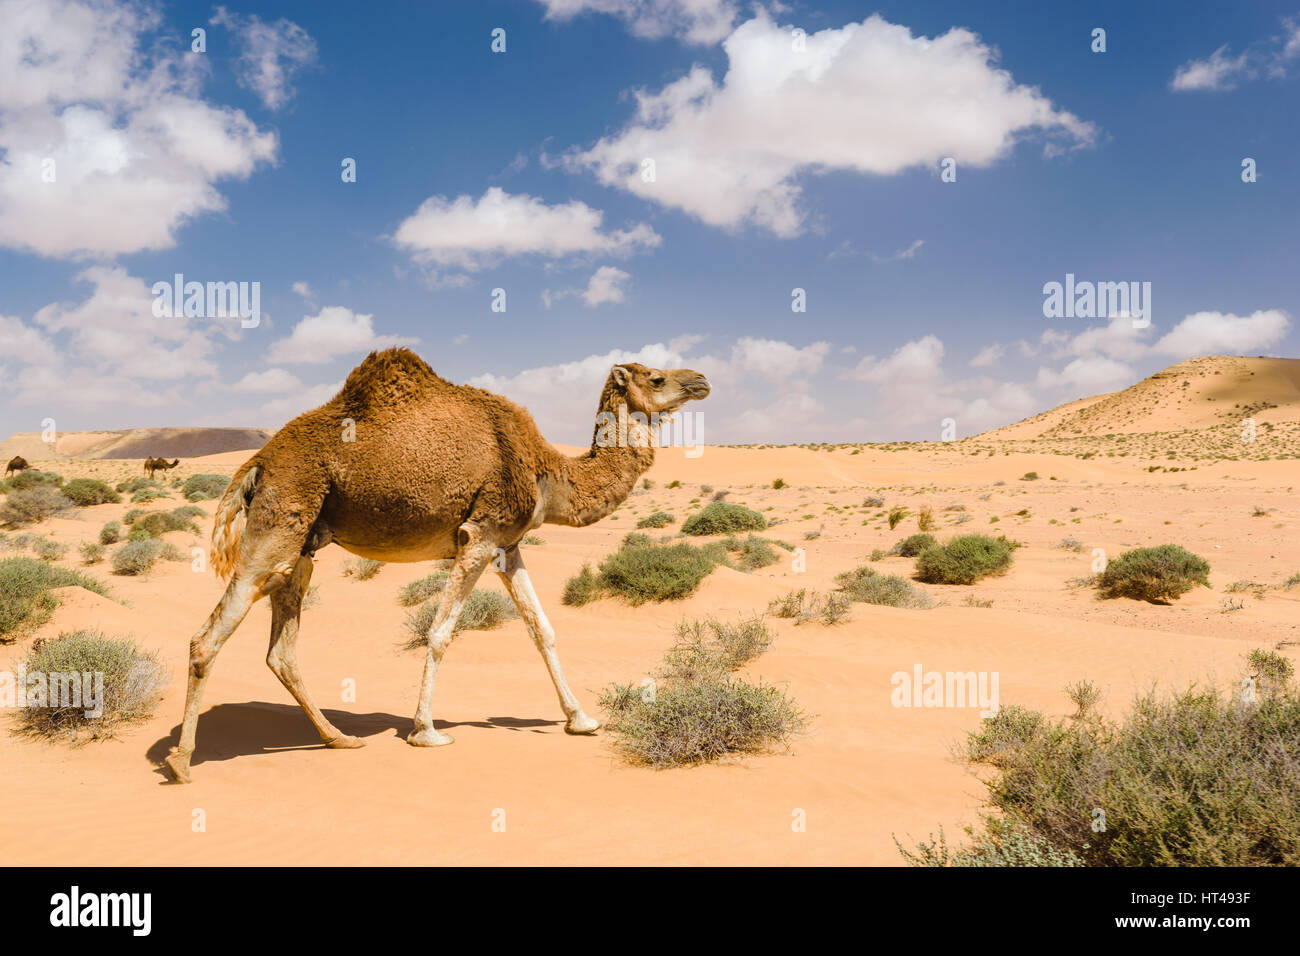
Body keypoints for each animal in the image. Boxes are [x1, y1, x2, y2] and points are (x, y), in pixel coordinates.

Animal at [164, 347, 710, 782]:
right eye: (655, 377)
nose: (702, 380)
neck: (546, 472)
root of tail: (258, 460)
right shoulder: (478, 534)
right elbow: (441, 632)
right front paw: (425, 731)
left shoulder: (508, 546)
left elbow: (542, 629)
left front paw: (582, 719)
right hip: (282, 517)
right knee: (209, 636)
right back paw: (182, 762)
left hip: (304, 541)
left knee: (281, 648)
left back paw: (339, 738)